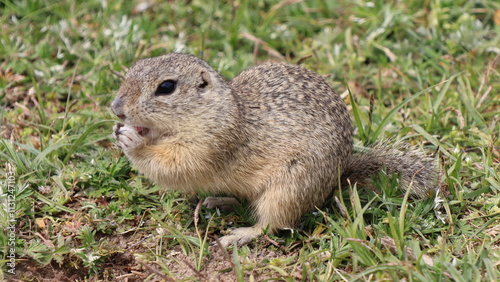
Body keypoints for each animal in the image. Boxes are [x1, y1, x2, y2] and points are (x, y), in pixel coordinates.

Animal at [110, 53, 438, 247]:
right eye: (133, 69)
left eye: (166, 87)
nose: (116, 109)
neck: (220, 109)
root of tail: (337, 179)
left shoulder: (211, 143)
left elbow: (177, 167)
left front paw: (132, 143)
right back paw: (220, 201)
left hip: (287, 190)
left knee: (274, 225)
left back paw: (239, 235)